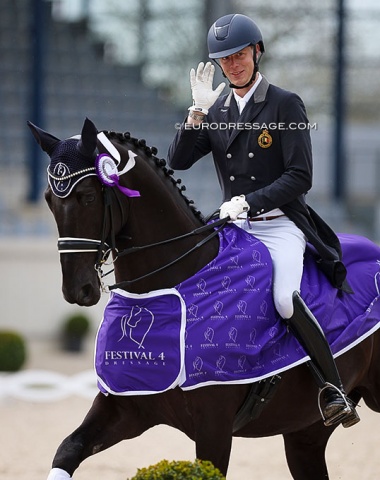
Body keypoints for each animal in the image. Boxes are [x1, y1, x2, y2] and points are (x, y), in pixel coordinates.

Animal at [29, 117, 380, 480]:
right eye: (48, 199)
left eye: (86, 197)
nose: (77, 290)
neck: (167, 288)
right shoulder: (126, 406)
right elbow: (68, 449)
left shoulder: (214, 427)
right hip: (304, 433)